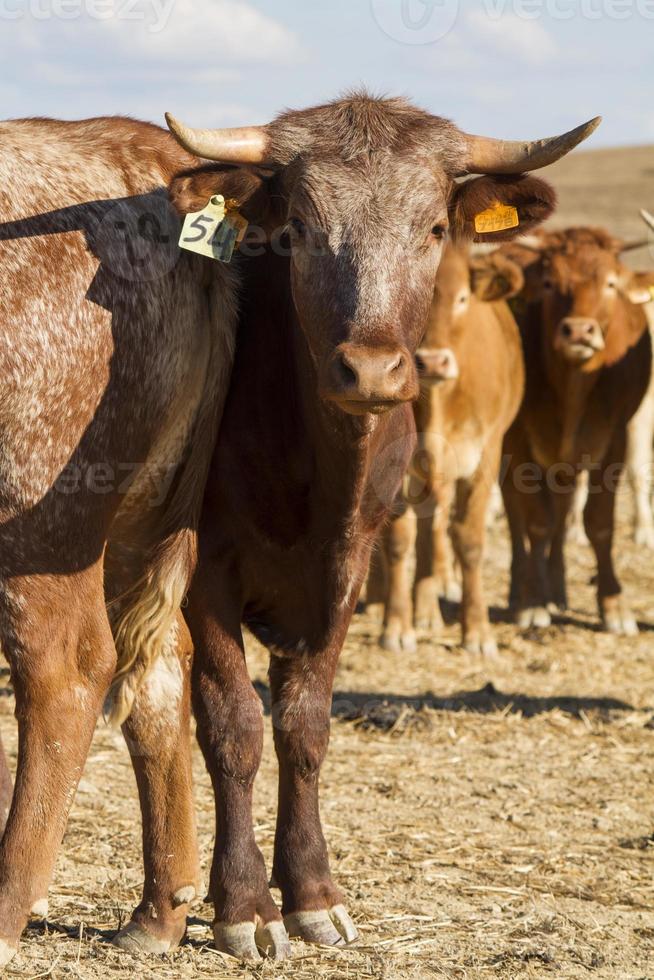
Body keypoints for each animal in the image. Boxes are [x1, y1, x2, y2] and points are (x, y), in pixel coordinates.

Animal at [380, 243, 528, 660]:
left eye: (462, 298)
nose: (431, 361)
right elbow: (399, 541)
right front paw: (396, 626)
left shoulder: (485, 457)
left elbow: (469, 541)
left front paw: (477, 631)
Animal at [502, 226, 652, 632]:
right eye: (550, 283)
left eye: (611, 283)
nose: (579, 331)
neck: (574, 387)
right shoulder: (520, 440)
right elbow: (536, 522)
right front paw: (532, 602)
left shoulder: (615, 438)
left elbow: (598, 522)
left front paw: (613, 605)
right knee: (517, 515)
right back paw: (521, 589)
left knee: (563, 508)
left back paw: (557, 587)